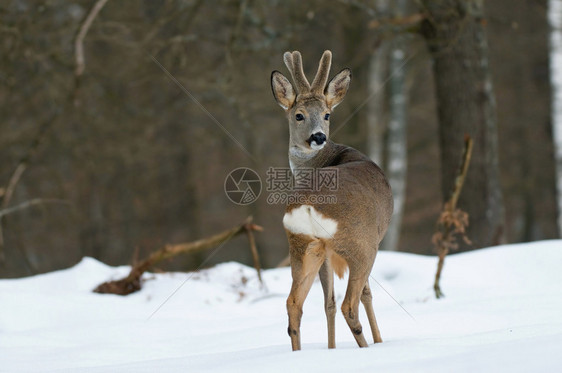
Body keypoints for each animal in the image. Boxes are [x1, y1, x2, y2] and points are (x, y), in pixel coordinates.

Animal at [270, 49, 392, 348]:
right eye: (299, 115)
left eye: (326, 114)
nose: (318, 137)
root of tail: (307, 203)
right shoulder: (370, 240)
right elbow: (366, 295)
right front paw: (380, 340)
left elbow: (327, 302)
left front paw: (331, 348)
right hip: (360, 244)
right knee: (351, 303)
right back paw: (366, 346)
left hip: (304, 245)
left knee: (293, 303)